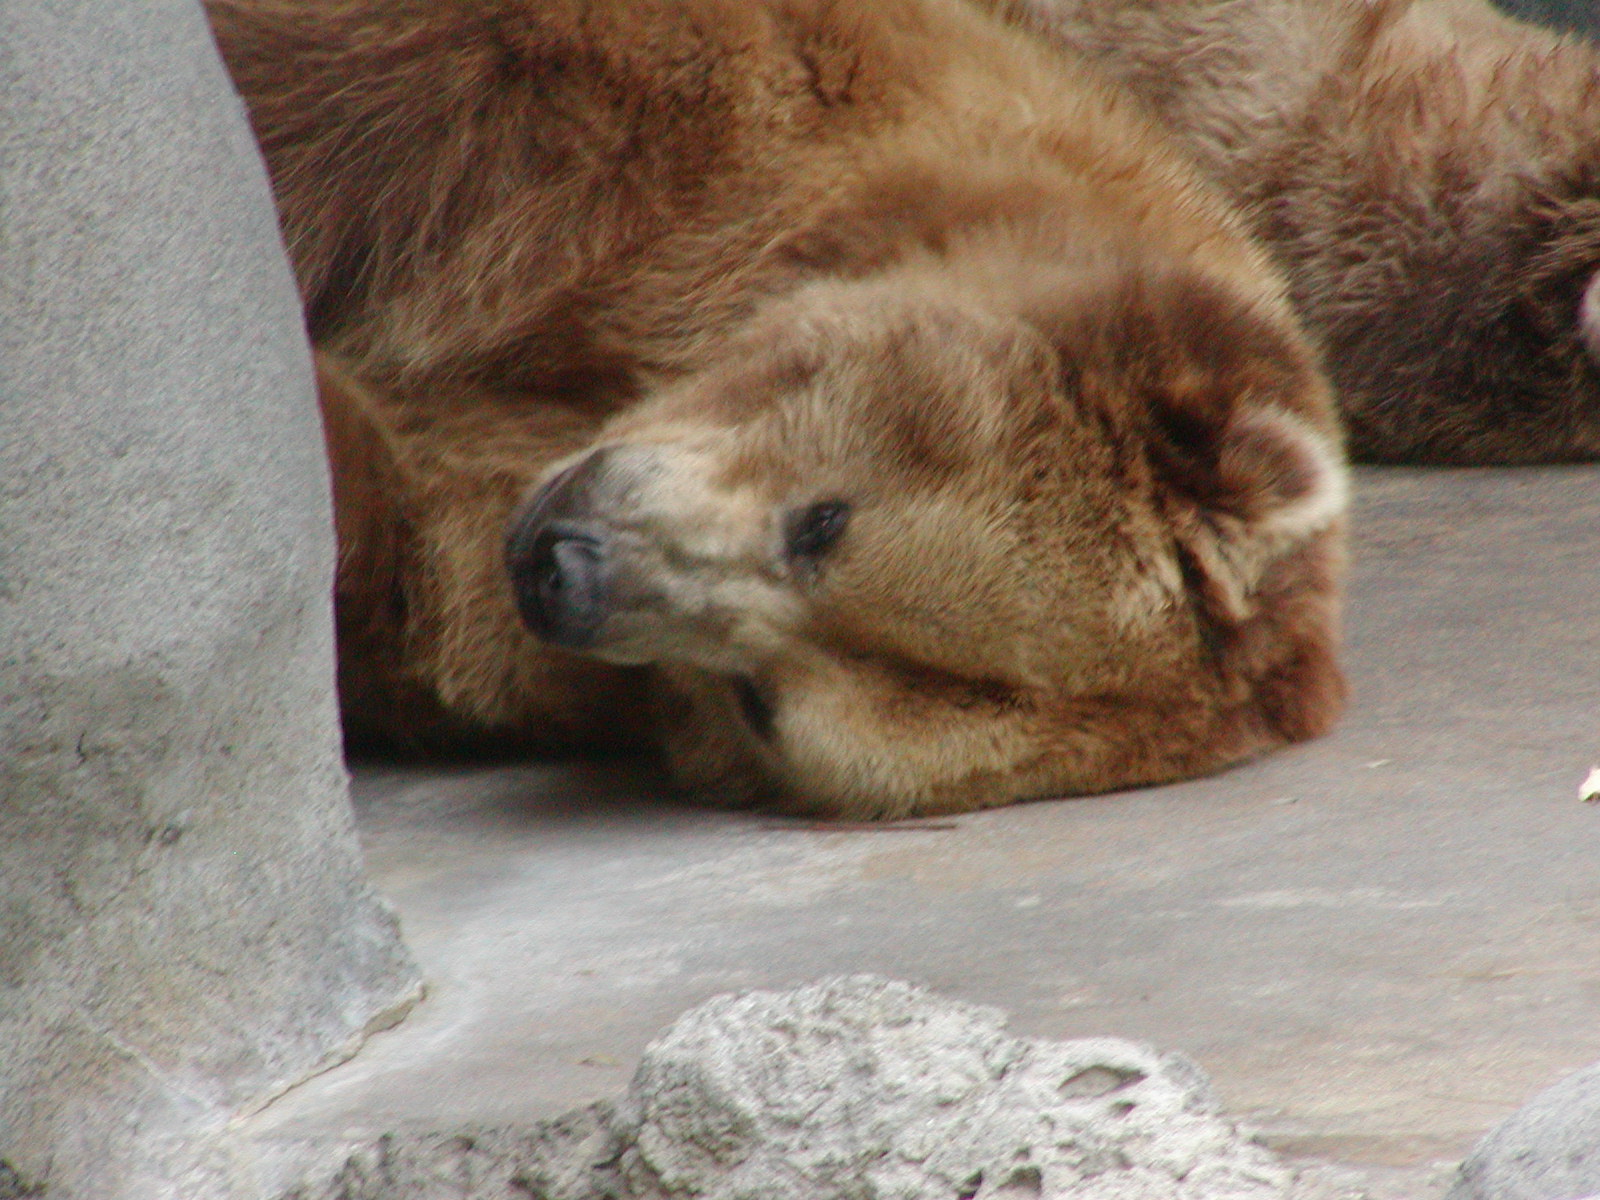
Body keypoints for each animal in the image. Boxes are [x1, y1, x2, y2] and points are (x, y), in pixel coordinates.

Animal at [206, 0, 1348, 817]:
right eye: (826, 524)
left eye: (760, 701)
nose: (565, 569)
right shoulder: (621, 117)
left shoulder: (483, 552)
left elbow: (395, 551)